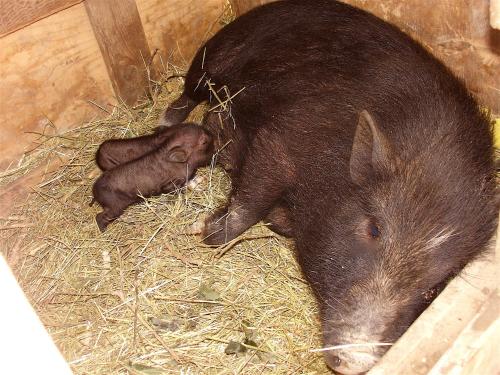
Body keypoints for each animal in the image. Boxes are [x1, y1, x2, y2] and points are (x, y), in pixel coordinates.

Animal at [159, 1, 496, 374]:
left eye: (436, 286)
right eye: (374, 229)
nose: (354, 360)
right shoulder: (282, 138)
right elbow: (251, 199)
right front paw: (205, 231)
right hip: (212, 57)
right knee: (188, 93)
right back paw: (166, 121)